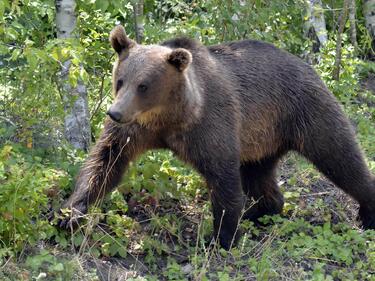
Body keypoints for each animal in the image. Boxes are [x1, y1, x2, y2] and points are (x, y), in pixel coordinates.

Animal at [59, 25, 375, 248]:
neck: (171, 117)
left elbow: (223, 178)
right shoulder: (135, 130)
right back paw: (261, 213)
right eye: (121, 79)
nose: (114, 112)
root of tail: (306, 64)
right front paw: (70, 214)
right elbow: (105, 162)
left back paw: (367, 212)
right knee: (258, 174)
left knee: (339, 156)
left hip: (304, 111)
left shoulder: (211, 125)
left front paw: (220, 237)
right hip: (262, 138)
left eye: (144, 85)